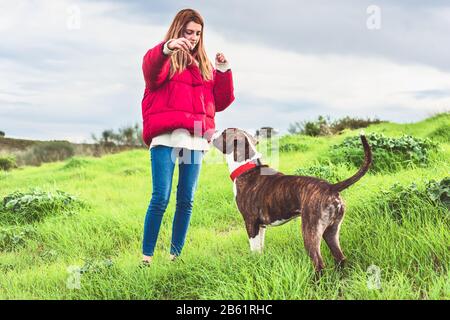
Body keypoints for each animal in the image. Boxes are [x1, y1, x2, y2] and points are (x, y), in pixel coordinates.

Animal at [214, 129, 372, 274]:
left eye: (223, 133)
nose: (213, 133)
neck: (246, 166)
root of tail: (331, 187)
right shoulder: (261, 226)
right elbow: (260, 247)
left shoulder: (250, 222)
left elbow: (254, 248)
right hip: (331, 231)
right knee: (340, 258)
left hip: (310, 231)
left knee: (319, 264)